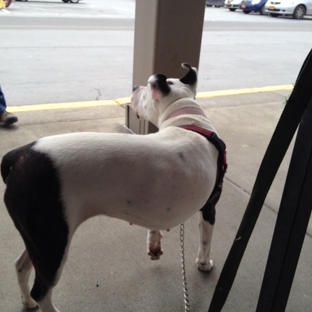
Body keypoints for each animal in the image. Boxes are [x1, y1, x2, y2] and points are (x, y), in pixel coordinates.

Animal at [0, 63, 225, 312]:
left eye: (144, 92)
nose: (135, 86)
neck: (187, 121)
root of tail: (20, 154)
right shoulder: (210, 207)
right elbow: (205, 240)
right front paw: (204, 264)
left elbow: (154, 226)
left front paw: (154, 244)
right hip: (53, 242)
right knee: (42, 290)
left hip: (39, 238)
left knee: (21, 266)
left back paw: (27, 301)